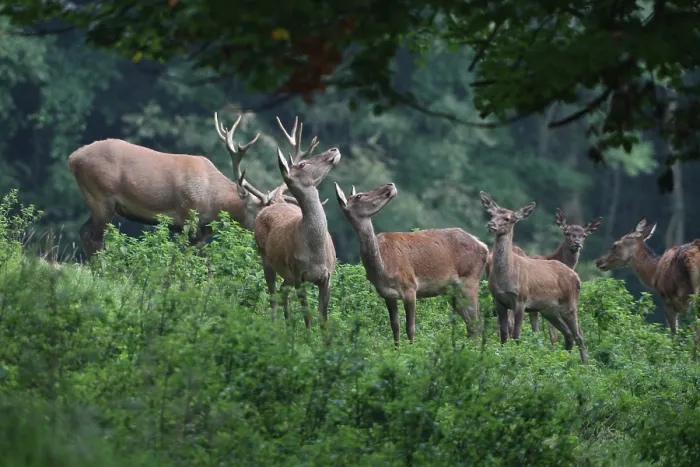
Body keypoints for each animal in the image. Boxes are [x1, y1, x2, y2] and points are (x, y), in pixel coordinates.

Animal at [68, 113, 295, 260]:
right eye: (261, 212)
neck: (213, 199)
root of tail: (73, 158)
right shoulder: (187, 216)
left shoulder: (203, 228)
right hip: (101, 196)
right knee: (95, 239)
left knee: (84, 232)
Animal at [250, 116, 340, 327]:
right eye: (302, 164)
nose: (334, 149)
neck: (316, 253)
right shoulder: (299, 275)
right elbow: (307, 317)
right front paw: (306, 336)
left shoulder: (327, 276)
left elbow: (323, 318)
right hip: (266, 258)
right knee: (273, 295)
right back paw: (275, 325)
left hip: (287, 275)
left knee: (283, 291)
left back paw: (288, 324)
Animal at [335, 183, 488, 344]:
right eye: (359, 196)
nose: (389, 185)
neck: (383, 268)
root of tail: (484, 246)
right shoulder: (387, 294)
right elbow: (394, 326)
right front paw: (397, 347)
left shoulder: (410, 286)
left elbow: (410, 327)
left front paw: (411, 346)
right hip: (451, 290)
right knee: (470, 323)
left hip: (470, 280)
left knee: (477, 322)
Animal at [480, 191, 588, 364]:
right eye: (492, 214)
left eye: (508, 218)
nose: (491, 224)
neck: (506, 277)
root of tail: (577, 277)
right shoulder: (499, 300)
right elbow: (504, 334)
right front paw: (502, 355)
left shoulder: (521, 299)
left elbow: (516, 335)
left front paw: (515, 357)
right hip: (550, 309)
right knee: (568, 333)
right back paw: (564, 361)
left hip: (570, 303)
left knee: (579, 334)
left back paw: (585, 366)